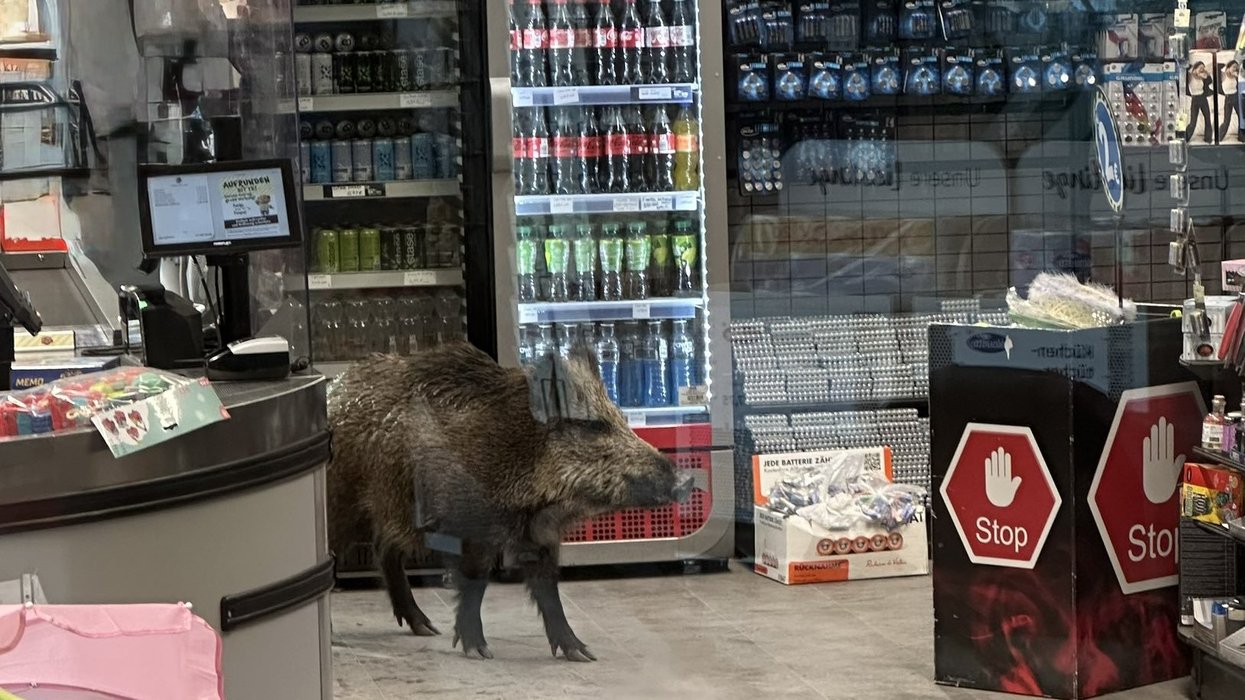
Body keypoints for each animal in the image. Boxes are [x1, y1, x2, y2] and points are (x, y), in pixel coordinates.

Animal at [327, 342, 692, 662]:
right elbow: (475, 583)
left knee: (384, 550)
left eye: (622, 419)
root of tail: (333, 392)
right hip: (344, 505)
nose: (687, 480)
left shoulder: (540, 537)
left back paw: (426, 627)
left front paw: (582, 654)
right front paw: (479, 651)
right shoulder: (472, 528)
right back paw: (333, 635)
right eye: (593, 426)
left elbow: (549, 591)